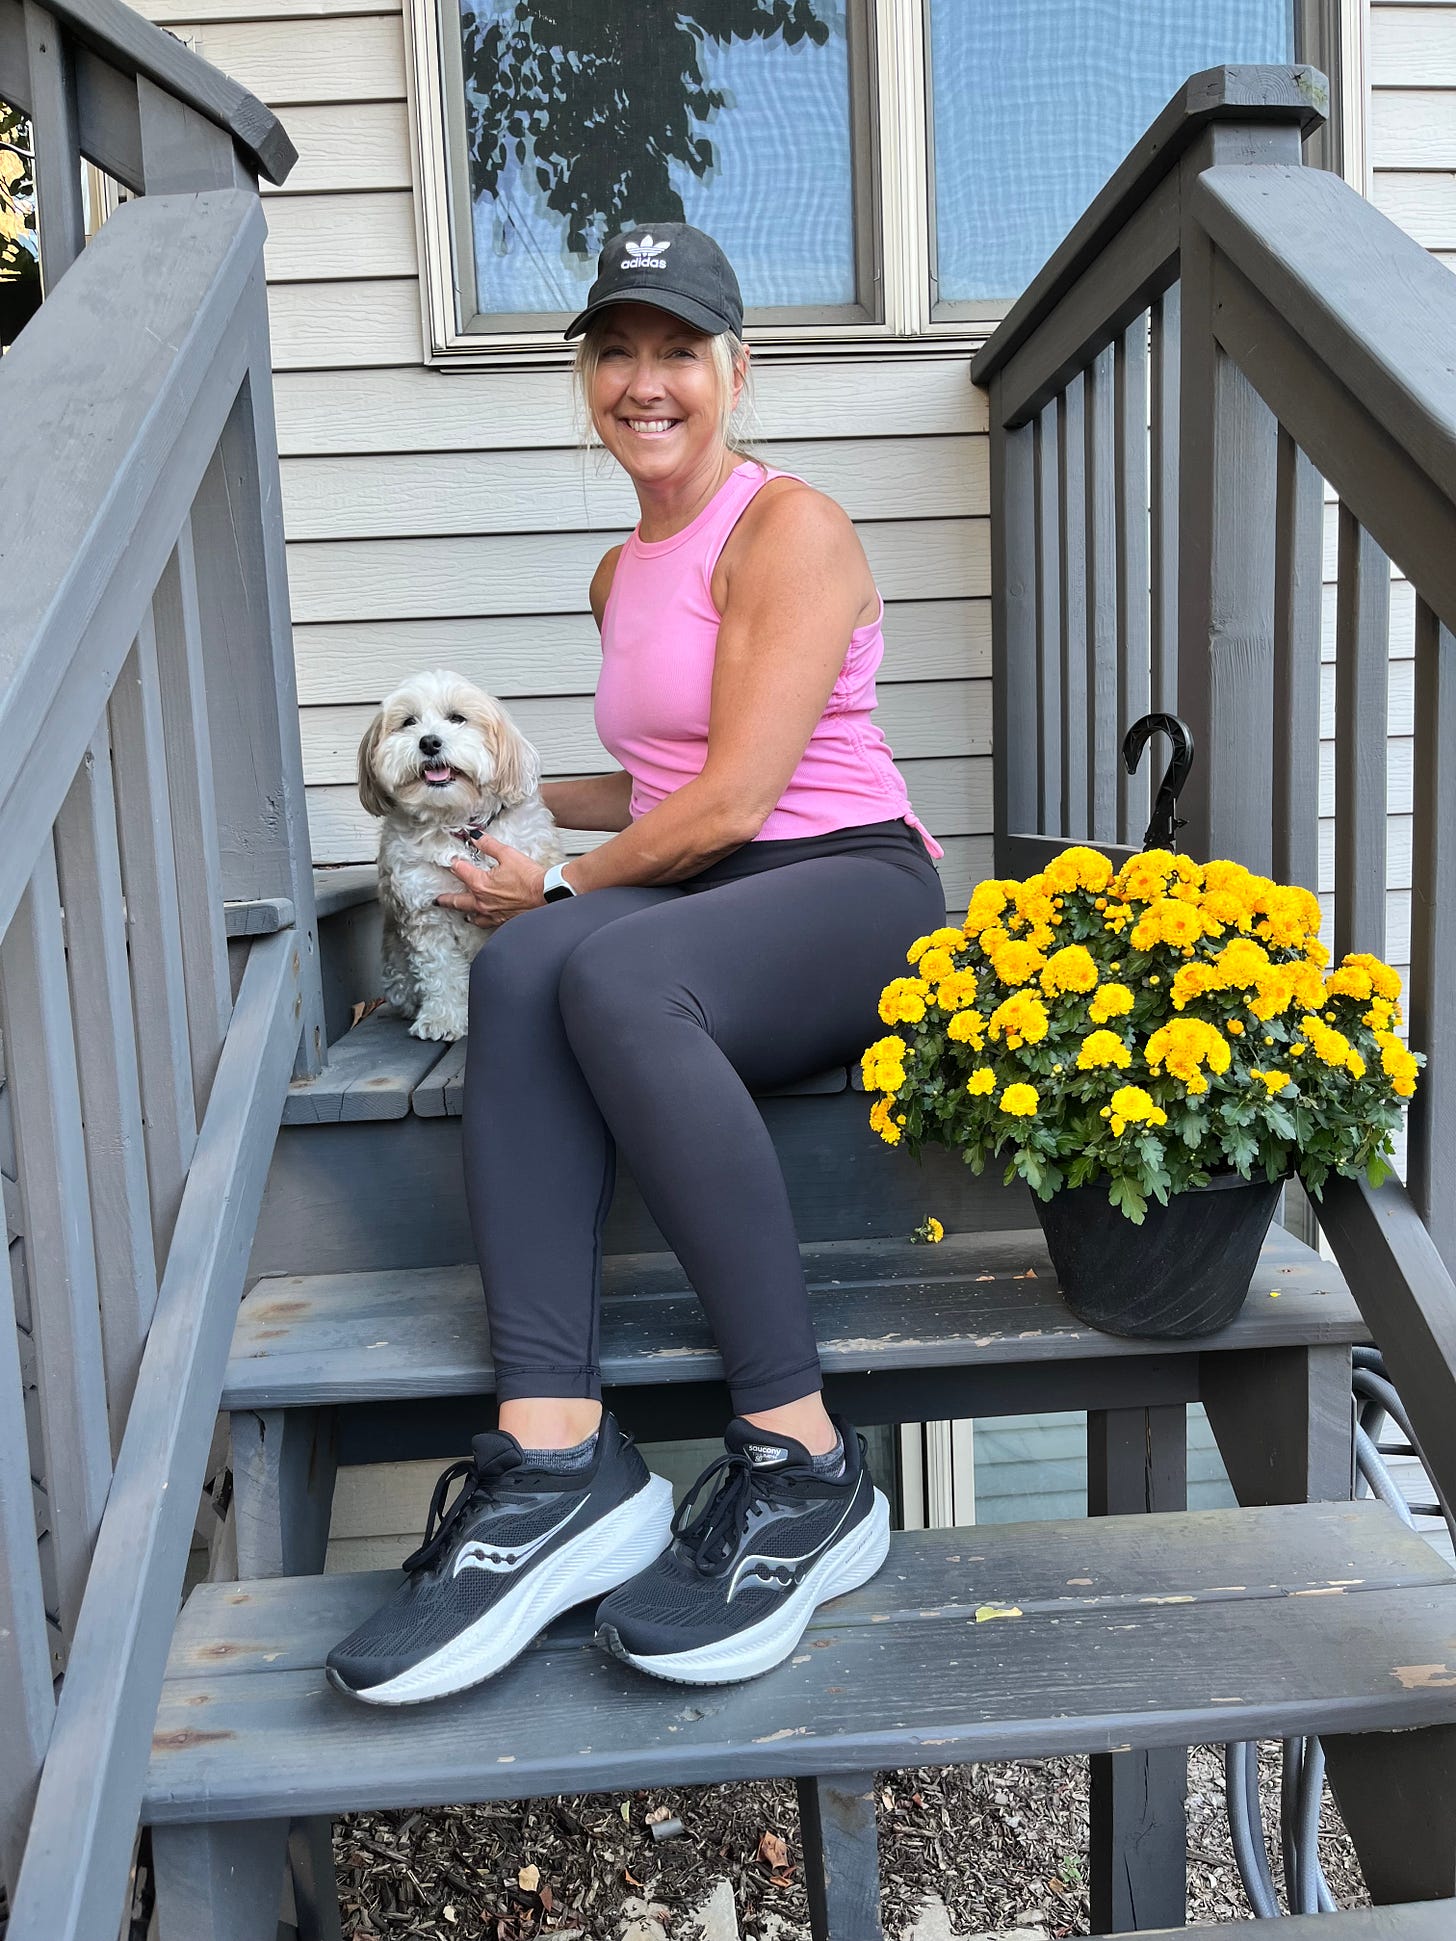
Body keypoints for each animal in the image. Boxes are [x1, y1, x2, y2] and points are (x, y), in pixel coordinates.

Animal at [357, 669, 565, 1040]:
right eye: (408, 722)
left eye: (457, 718)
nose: (429, 742)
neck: (457, 826)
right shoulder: (426, 911)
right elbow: (440, 972)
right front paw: (442, 1019)